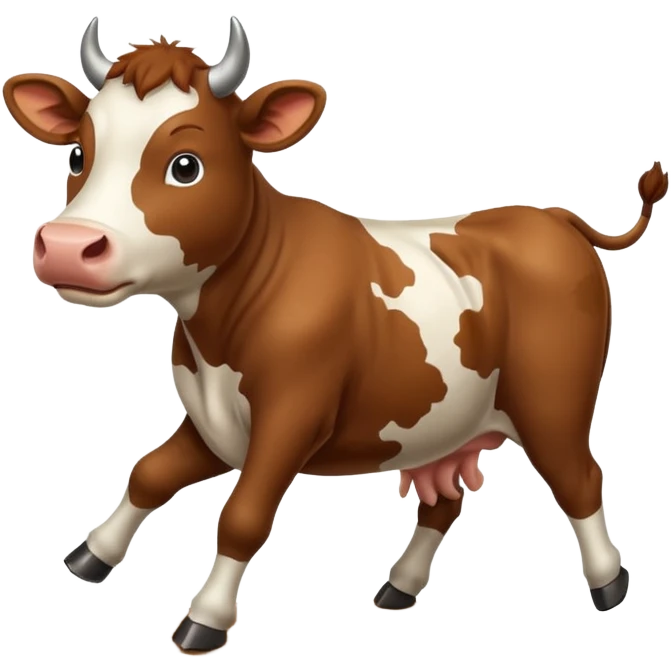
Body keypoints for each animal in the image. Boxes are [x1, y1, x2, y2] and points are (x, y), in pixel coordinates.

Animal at [2, 16, 665, 657]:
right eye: (77, 156)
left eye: (185, 165)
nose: (68, 247)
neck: (215, 332)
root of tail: (550, 216)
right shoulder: (216, 423)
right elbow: (148, 472)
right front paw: (92, 553)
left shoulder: (292, 416)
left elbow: (242, 516)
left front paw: (204, 619)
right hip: (449, 420)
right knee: (444, 500)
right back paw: (400, 587)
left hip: (554, 402)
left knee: (580, 478)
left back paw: (609, 583)